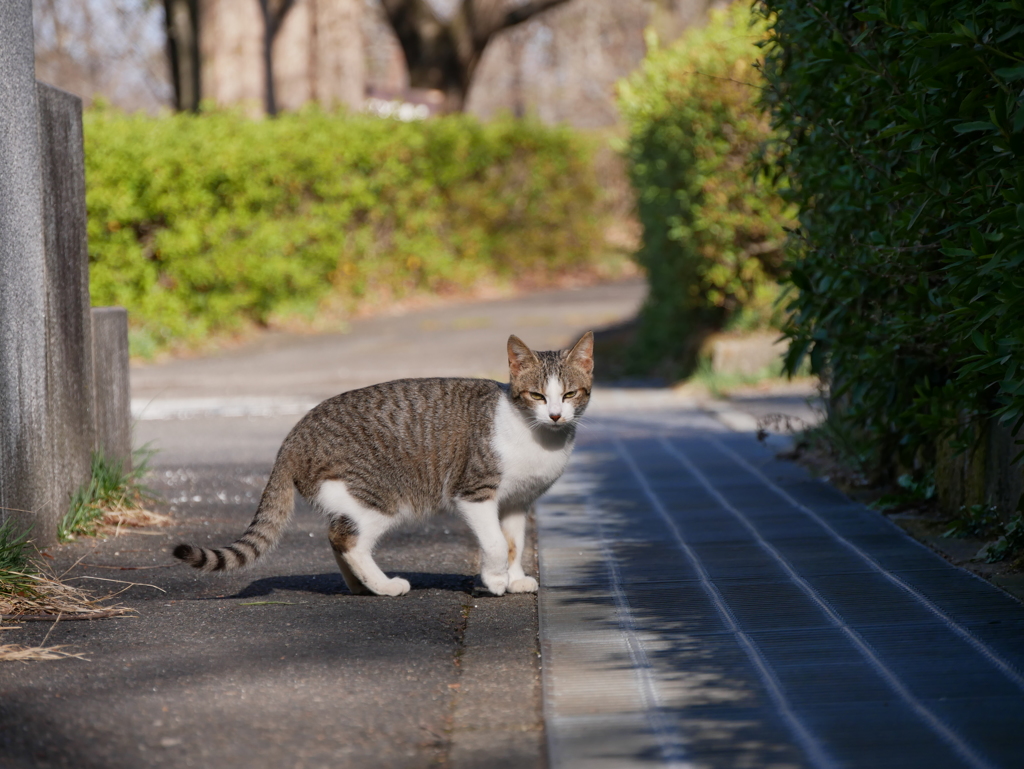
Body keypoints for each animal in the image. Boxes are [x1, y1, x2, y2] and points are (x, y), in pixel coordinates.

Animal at [173, 331, 598, 593]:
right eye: (538, 396)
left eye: (571, 394)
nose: (556, 415)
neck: (537, 436)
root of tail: (293, 436)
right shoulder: (474, 493)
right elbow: (494, 543)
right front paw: (494, 581)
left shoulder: (516, 502)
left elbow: (514, 544)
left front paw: (514, 578)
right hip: (380, 497)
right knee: (348, 541)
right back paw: (385, 586)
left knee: (336, 535)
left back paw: (361, 587)